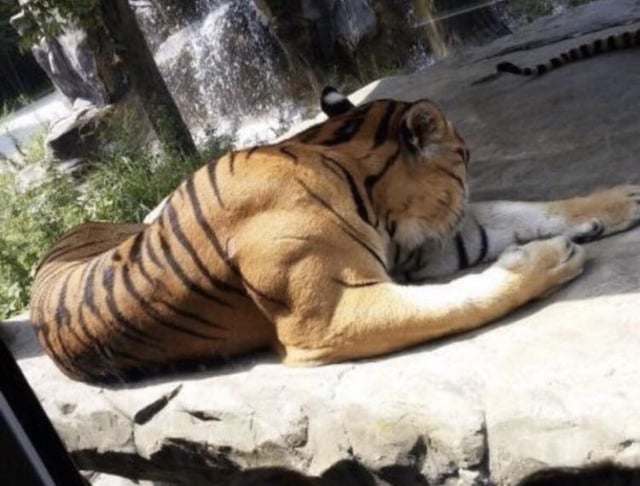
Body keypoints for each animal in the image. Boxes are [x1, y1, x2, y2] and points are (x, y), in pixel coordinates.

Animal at [29, 86, 640, 383]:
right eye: (464, 157)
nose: (466, 173)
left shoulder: (428, 248)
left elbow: (520, 210)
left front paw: (618, 201)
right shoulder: (332, 314)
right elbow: (464, 298)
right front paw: (547, 259)